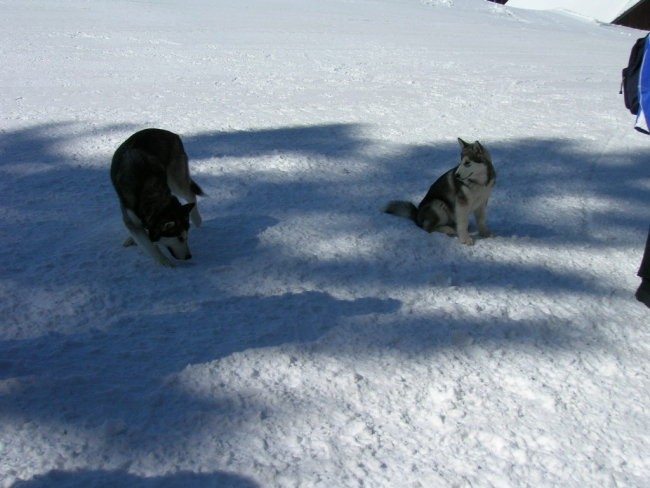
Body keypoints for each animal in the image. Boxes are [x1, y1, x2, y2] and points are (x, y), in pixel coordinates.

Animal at [110, 129, 204, 266]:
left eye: (186, 237)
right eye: (180, 238)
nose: (189, 257)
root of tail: (169, 132)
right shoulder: (131, 217)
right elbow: (149, 245)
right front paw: (165, 263)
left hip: (176, 180)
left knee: (190, 194)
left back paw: (197, 220)